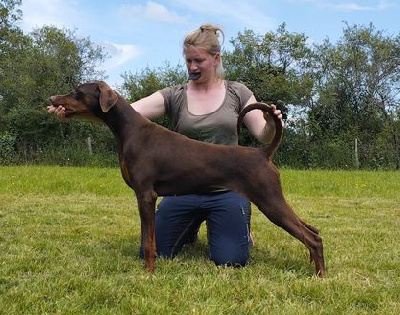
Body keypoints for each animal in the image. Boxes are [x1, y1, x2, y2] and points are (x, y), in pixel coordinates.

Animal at [49, 81, 324, 276]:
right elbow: (146, 237)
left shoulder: (145, 194)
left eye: (77, 92)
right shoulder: (142, 197)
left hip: (269, 200)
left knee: (312, 237)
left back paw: (320, 275)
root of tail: (263, 152)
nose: (52, 99)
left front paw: (149, 273)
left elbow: (149, 242)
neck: (128, 130)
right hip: (274, 200)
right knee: (313, 229)